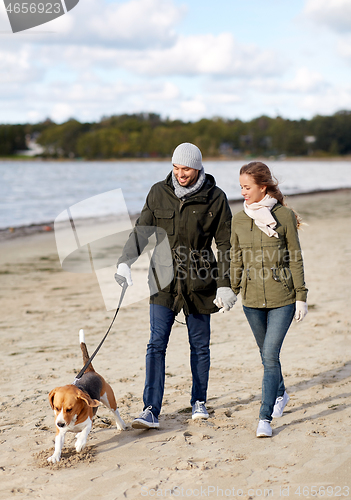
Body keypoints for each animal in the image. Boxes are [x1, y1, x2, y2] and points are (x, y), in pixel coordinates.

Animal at [47, 330, 126, 462]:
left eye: (70, 409)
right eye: (56, 408)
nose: (60, 424)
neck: (73, 419)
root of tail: (89, 370)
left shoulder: (89, 423)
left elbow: (85, 431)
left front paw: (80, 444)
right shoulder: (60, 432)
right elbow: (58, 444)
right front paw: (55, 456)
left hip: (109, 399)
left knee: (115, 412)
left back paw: (121, 425)